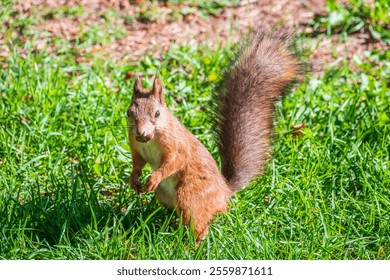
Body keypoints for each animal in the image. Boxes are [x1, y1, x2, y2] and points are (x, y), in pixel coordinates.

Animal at [127, 26, 302, 245]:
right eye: (128, 113)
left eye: (157, 114)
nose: (141, 133)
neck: (152, 137)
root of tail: (224, 192)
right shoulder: (135, 146)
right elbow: (138, 162)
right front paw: (134, 180)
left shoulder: (176, 144)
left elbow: (175, 160)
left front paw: (153, 178)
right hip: (165, 195)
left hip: (190, 194)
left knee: (200, 222)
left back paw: (192, 245)